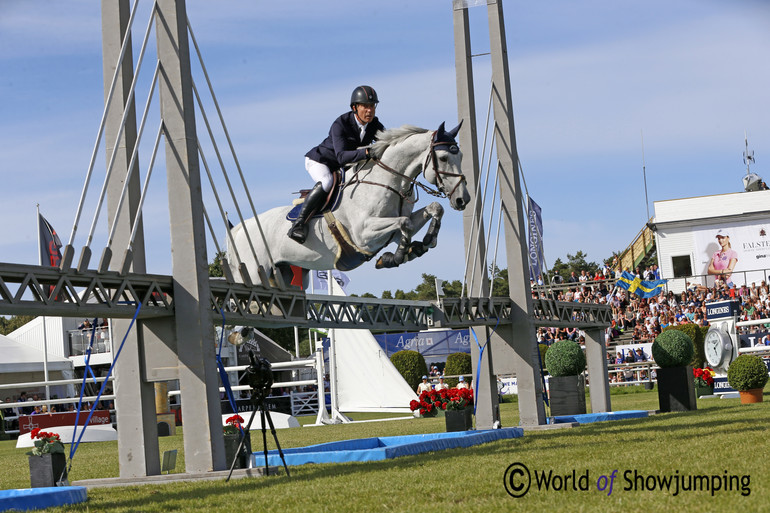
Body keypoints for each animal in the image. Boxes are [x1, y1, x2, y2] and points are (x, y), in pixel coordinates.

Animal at [228, 121, 468, 286]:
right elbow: (405, 224)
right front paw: (396, 256)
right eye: (444, 158)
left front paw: (422, 244)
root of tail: (240, 228)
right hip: (253, 274)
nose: (462, 199)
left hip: (285, 275)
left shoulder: (391, 231)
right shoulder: (364, 235)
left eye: (461, 156)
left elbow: (432, 210)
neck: (387, 180)